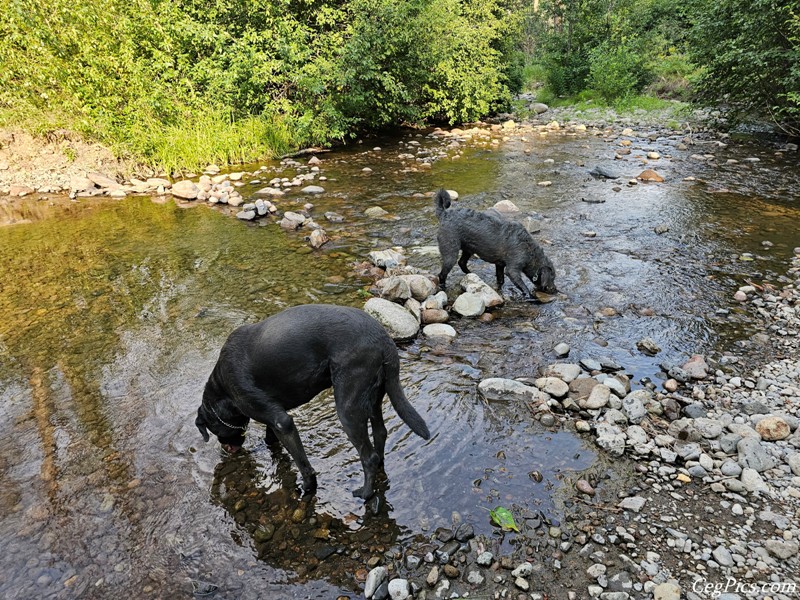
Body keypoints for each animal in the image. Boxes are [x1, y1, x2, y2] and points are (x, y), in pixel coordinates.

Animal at [195, 304, 432, 502]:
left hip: (348, 407)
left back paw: (365, 494)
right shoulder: (275, 418)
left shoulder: (282, 421)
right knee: (380, 433)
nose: (226, 449)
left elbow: (303, 464)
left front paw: (307, 489)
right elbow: (271, 439)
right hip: (374, 397)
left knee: (369, 456)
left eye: (215, 431)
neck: (222, 389)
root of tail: (384, 339)